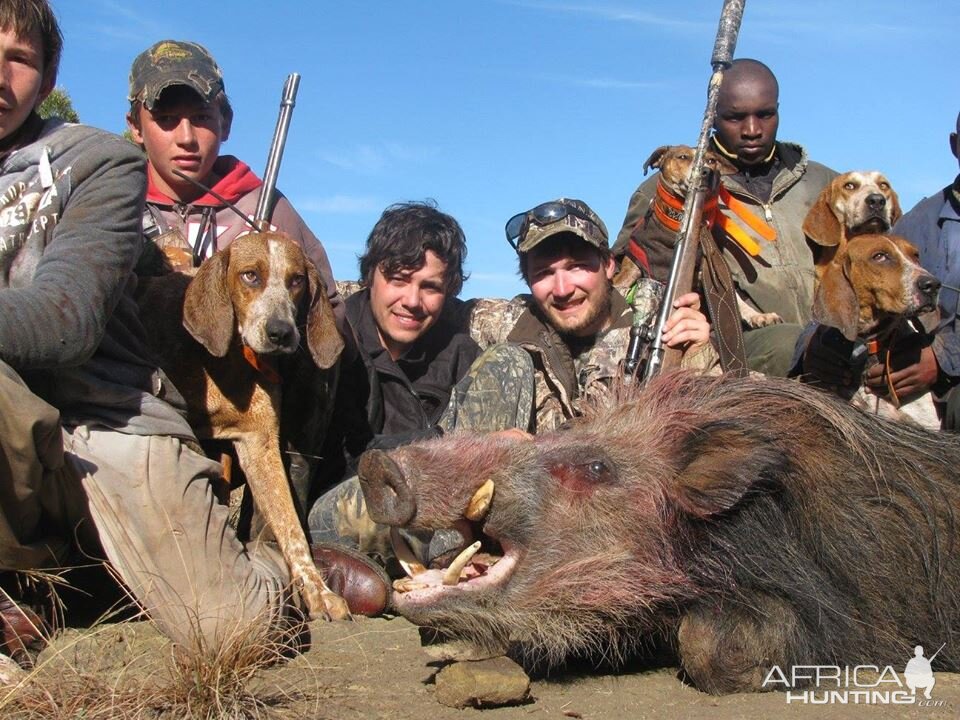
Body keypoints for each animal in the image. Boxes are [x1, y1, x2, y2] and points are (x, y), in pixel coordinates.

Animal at [133, 231, 346, 620]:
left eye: (296, 280)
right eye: (250, 275)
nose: (281, 333)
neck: (231, 358)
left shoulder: (260, 442)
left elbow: (291, 526)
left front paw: (318, 592)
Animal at [616, 144, 780, 330]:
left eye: (712, 160)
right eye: (682, 157)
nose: (707, 171)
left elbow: (735, 298)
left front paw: (758, 316)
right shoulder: (631, 270)